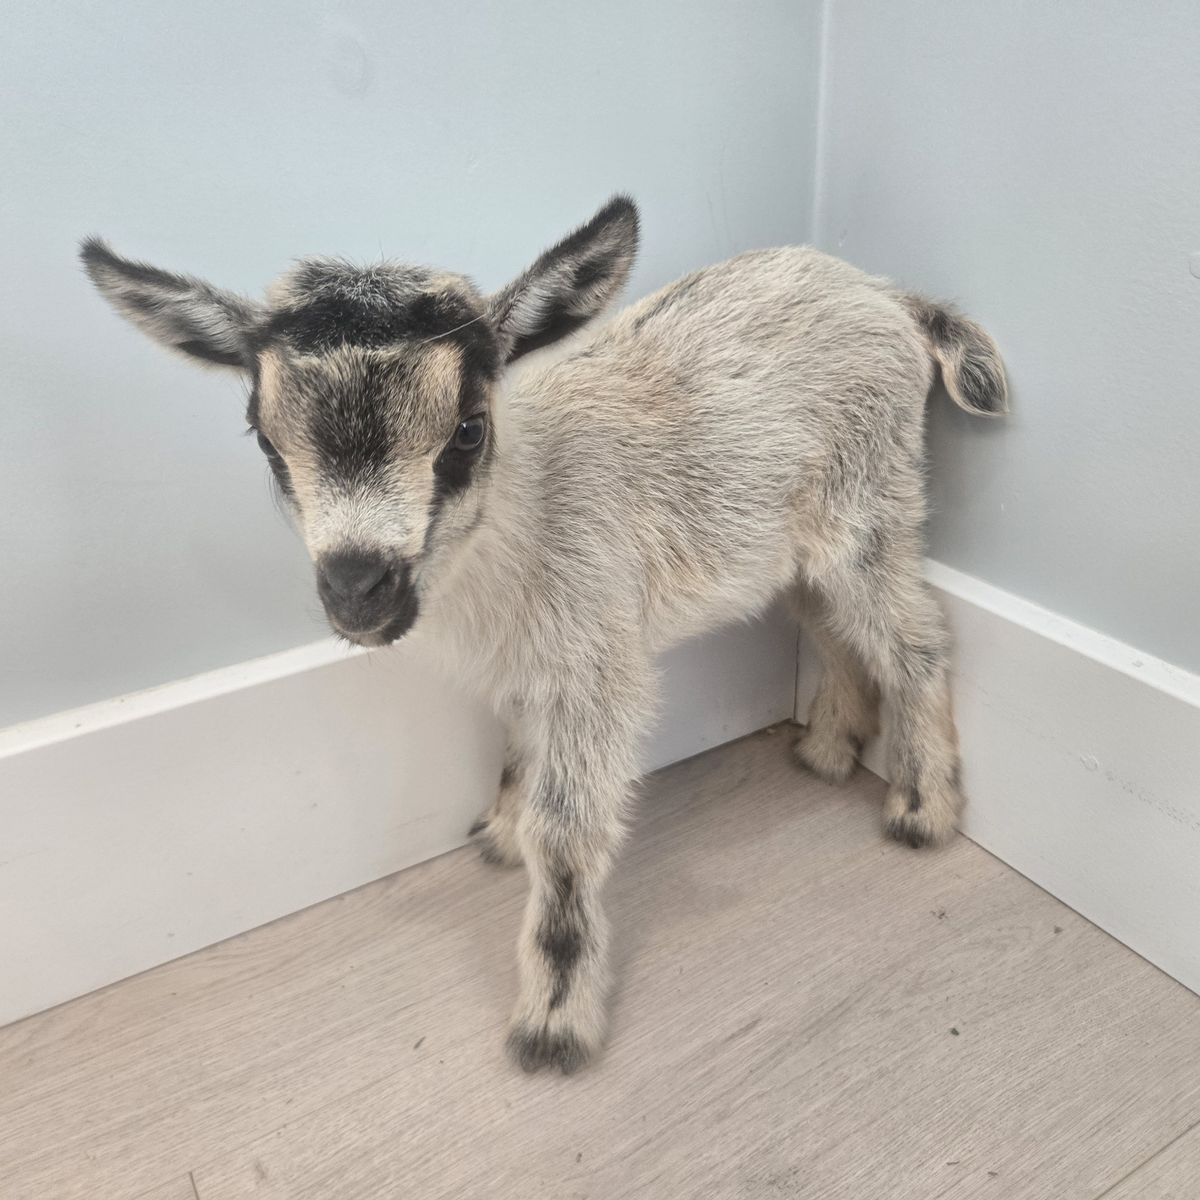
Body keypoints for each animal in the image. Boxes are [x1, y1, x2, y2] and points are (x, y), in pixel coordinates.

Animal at [81, 196, 1007, 1073]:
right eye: (267, 440)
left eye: (467, 429)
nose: (357, 594)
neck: (517, 531)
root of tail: (888, 295)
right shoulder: (532, 666)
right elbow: (518, 756)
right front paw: (497, 832)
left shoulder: (595, 659)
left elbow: (565, 834)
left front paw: (555, 1020)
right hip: (800, 544)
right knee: (835, 627)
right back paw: (827, 749)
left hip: (870, 501)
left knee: (916, 638)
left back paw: (923, 809)